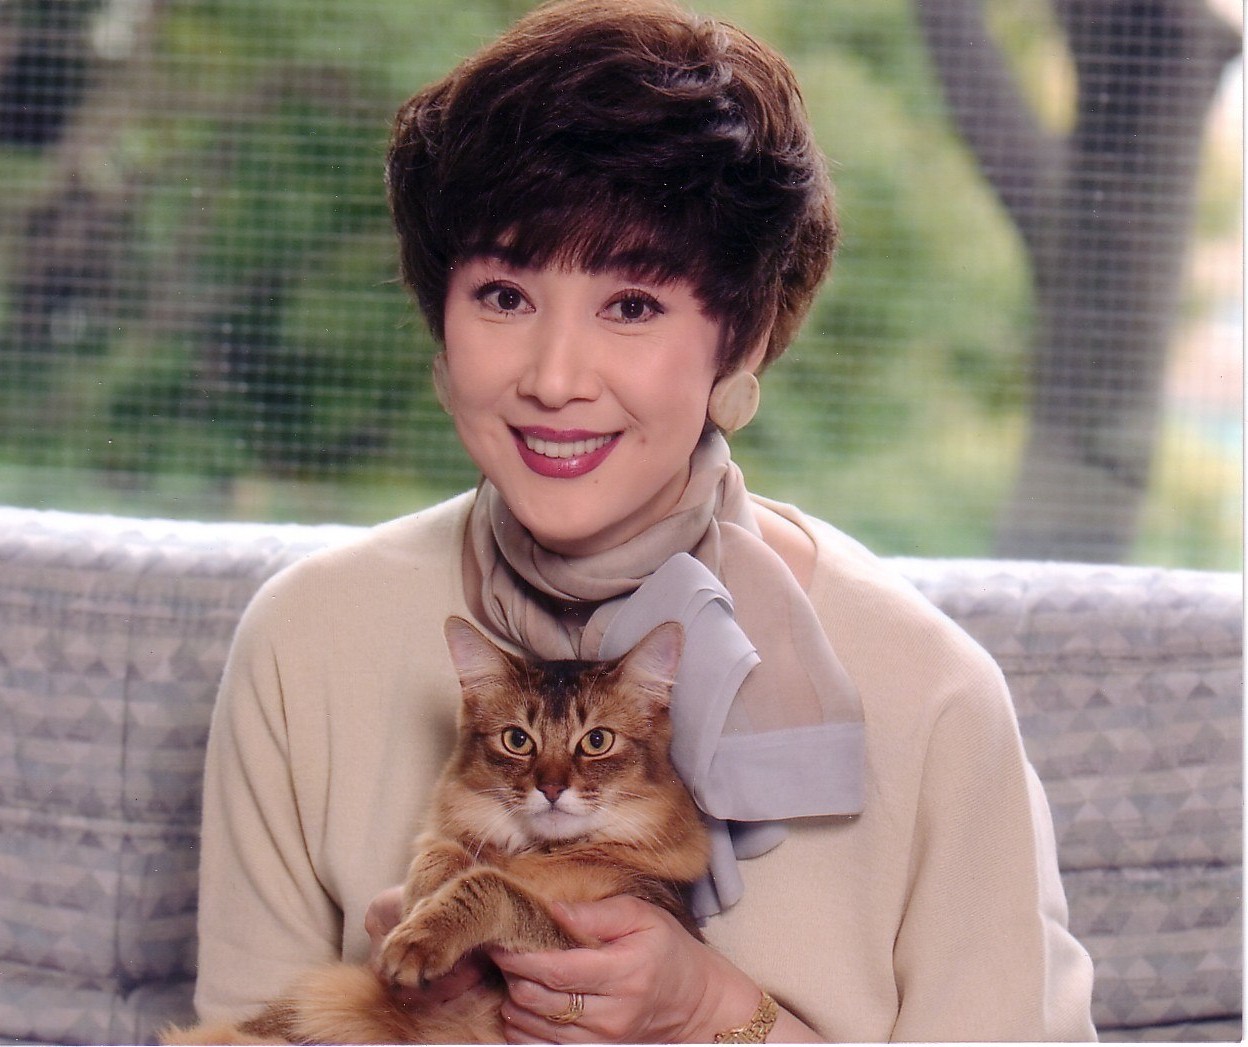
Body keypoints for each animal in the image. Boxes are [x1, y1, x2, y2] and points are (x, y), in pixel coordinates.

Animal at [166, 615, 709, 1044]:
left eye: (597, 741)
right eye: (517, 740)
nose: (551, 788)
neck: (539, 852)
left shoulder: (600, 942)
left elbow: (493, 885)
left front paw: (420, 939)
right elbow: (443, 852)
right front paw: (419, 899)